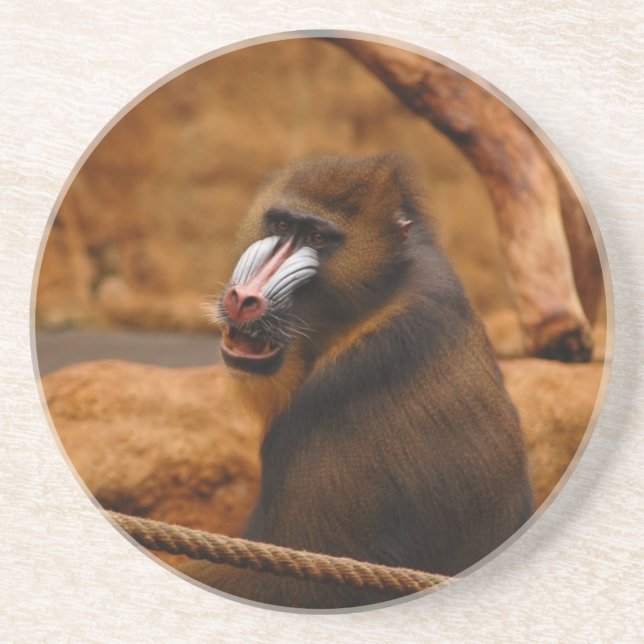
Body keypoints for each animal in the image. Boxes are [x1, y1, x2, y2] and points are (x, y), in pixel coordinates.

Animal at [179, 154, 534, 609]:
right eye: (281, 225)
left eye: (317, 237)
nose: (243, 300)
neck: (370, 303)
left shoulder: (346, 388)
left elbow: (303, 579)